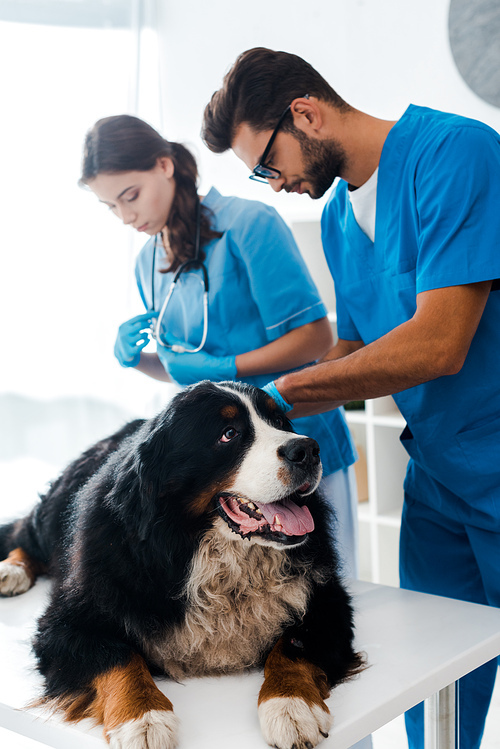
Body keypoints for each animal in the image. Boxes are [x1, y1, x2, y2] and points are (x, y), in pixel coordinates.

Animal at [0, 382, 362, 744]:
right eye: (229, 434)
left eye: (279, 421)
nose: (308, 449)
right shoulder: (69, 623)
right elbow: (119, 657)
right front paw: (144, 719)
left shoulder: (326, 599)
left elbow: (294, 645)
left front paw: (290, 706)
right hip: (54, 512)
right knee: (24, 531)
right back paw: (12, 570)